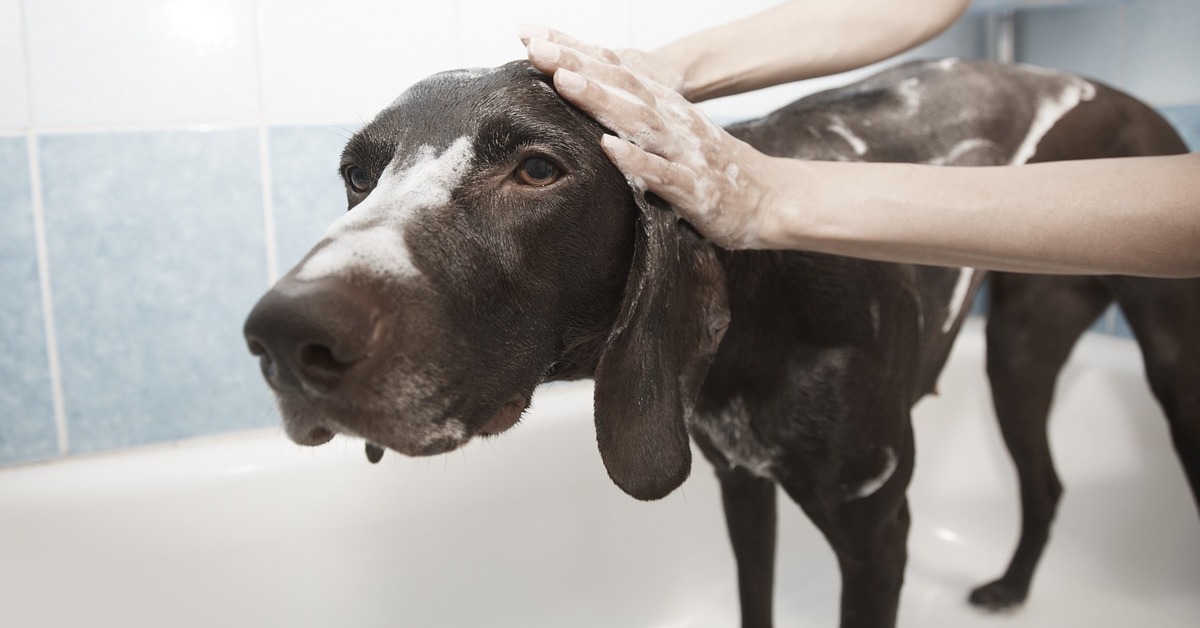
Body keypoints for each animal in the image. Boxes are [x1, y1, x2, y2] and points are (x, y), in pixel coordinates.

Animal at [246, 56, 1200, 624]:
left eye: (538, 169)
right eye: (357, 175)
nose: (283, 336)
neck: (763, 307)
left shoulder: (876, 533)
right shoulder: (741, 487)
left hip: (1150, 367)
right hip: (1020, 353)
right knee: (1045, 482)